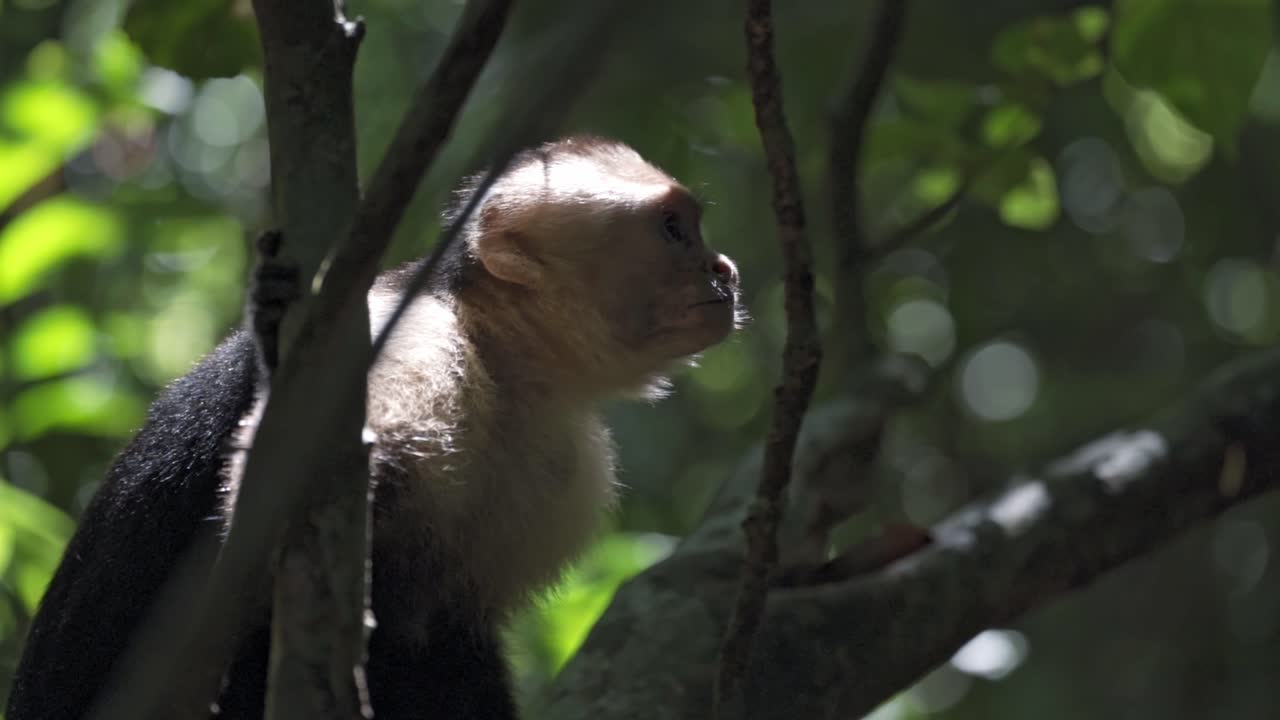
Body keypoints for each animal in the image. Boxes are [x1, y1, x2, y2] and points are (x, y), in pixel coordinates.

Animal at [5, 135, 742, 720]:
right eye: (673, 230)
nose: (726, 270)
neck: (499, 355)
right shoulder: (404, 339)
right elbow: (262, 534)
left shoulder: (565, 461)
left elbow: (449, 640)